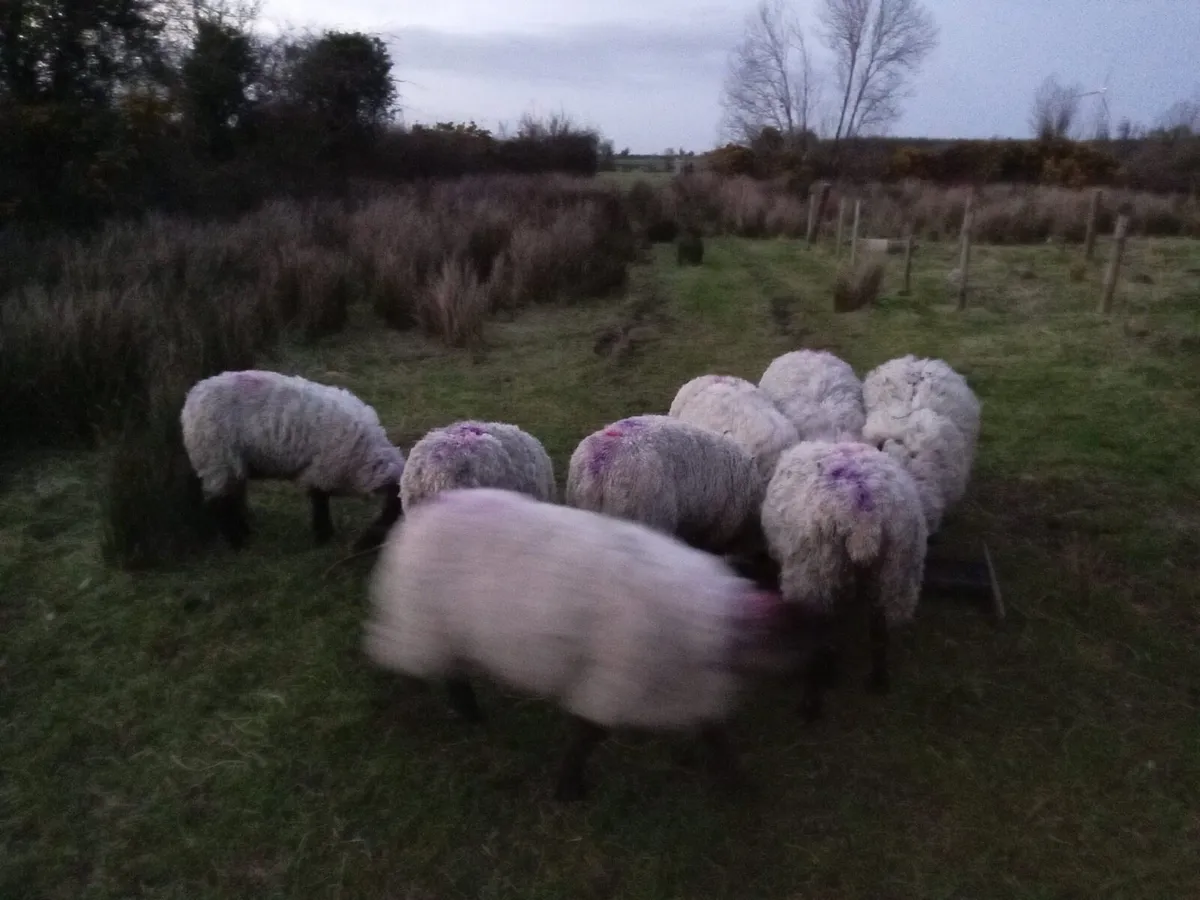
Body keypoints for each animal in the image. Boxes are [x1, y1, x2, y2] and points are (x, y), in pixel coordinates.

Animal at [180, 369, 405, 552]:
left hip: (230, 462)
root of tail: (192, 396)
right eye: (395, 512)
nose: (363, 547)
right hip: (216, 456)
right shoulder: (323, 469)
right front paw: (323, 536)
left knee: (232, 495)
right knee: (219, 502)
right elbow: (320, 499)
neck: (366, 455)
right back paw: (237, 543)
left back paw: (244, 532)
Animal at [363, 487, 803, 801]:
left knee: (451, 673)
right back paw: (416, 716)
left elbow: (716, 736)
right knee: (411, 667)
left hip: (441, 630)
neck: (719, 625)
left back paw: (471, 714)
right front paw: (568, 790)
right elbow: (587, 734)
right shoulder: (611, 683)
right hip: (421, 624)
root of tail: (416, 521)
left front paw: (740, 788)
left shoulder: (688, 692)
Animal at [760, 441, 927, 722]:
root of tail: (865, 516)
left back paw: (810, 705)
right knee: (879, 627)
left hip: (815, 572)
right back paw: (878, 680)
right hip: (894, 572)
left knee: (817, 634)